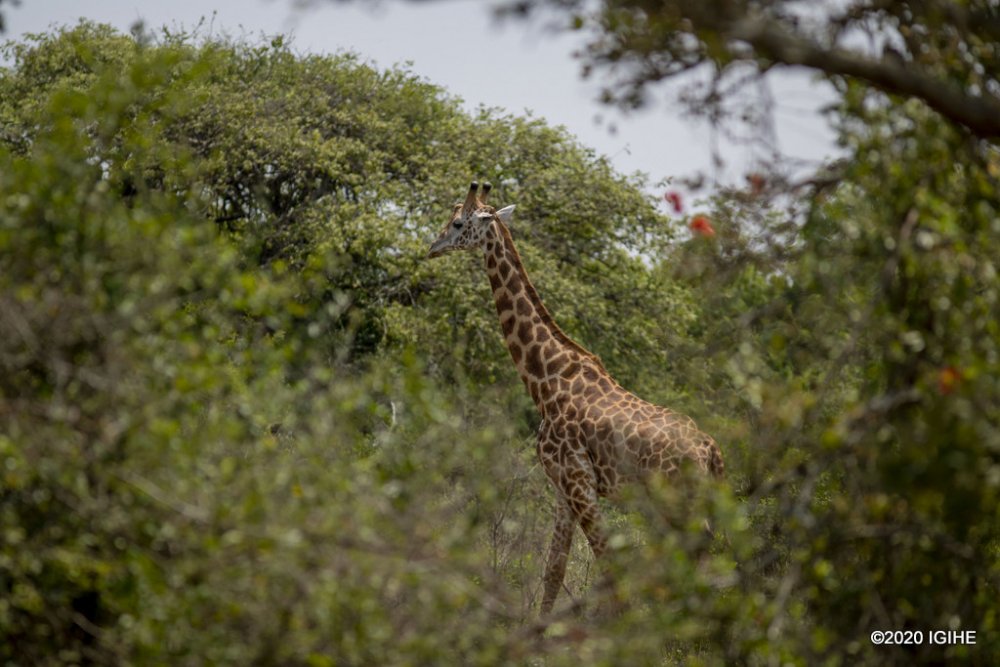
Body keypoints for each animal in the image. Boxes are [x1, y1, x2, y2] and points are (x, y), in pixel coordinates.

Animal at [428, 181, 724, 614]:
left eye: (457, 223)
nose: (432, 248)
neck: (547, 380)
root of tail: (710, 452)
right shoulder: (560, 488)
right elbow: (554, 571)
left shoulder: (577, 481)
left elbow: (610, 567)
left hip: (673, 505)